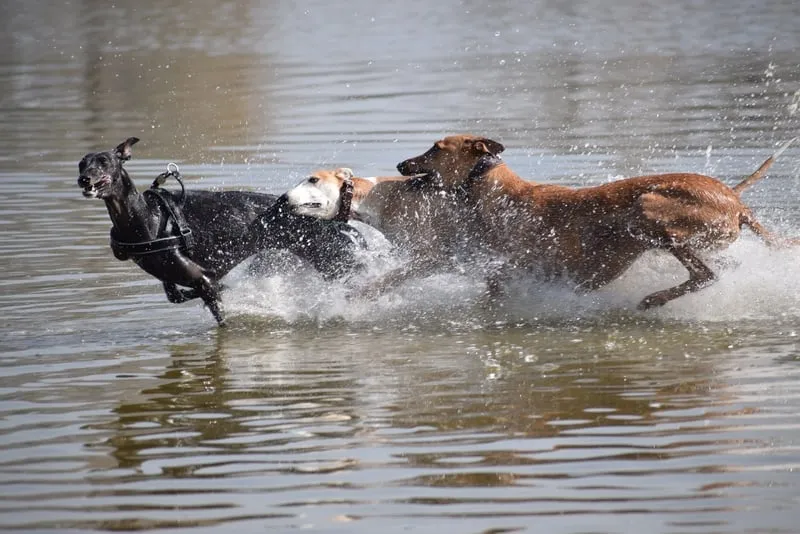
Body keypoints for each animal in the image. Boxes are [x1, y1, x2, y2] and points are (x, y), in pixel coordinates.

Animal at [78, 137, 366, 326]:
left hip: (336, 262)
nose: (84, 179)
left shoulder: (204, 282)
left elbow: (218, 306)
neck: (144, 217)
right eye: (82, 163)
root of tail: (334, 220)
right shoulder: (178, 278)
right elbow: (178, 295)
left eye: (104, 161)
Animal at [396, 134, 796, 310]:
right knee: (722, 267)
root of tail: (737, 202)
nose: (400, 164)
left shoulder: (506, 271)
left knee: (706, 274)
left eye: (436, 148)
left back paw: (654, 299)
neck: (495, 191)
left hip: (648, 208)